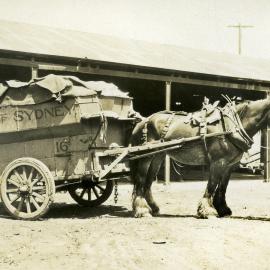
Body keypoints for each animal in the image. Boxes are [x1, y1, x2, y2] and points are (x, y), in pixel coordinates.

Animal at [131, 97, 270, 217]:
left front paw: (222, 209)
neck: (232, 126)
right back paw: (142, 210)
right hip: (146, 157)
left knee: (148, 182)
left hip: (157, 156)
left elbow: (222, 187)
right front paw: (207, 210)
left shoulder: (229, 166)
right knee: (141, 180)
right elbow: (212, 184)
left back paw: (153, 208)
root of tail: (144, 121)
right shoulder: (218, 162)